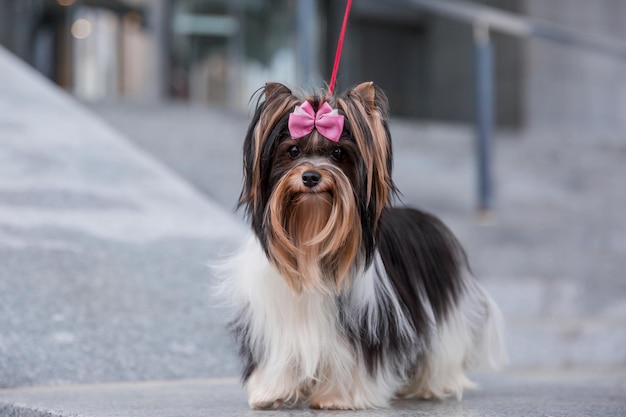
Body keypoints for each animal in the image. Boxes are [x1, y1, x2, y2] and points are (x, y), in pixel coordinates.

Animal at [217, 81, 504, 410]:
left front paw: (339, 397)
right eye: (293, 150)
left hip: (446, 314)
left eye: (339, 152)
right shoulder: (277, 317)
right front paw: (272, 393)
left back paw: (432, 386)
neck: (310, 233)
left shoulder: (365, 322)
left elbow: (354, 359)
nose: (311, 176)